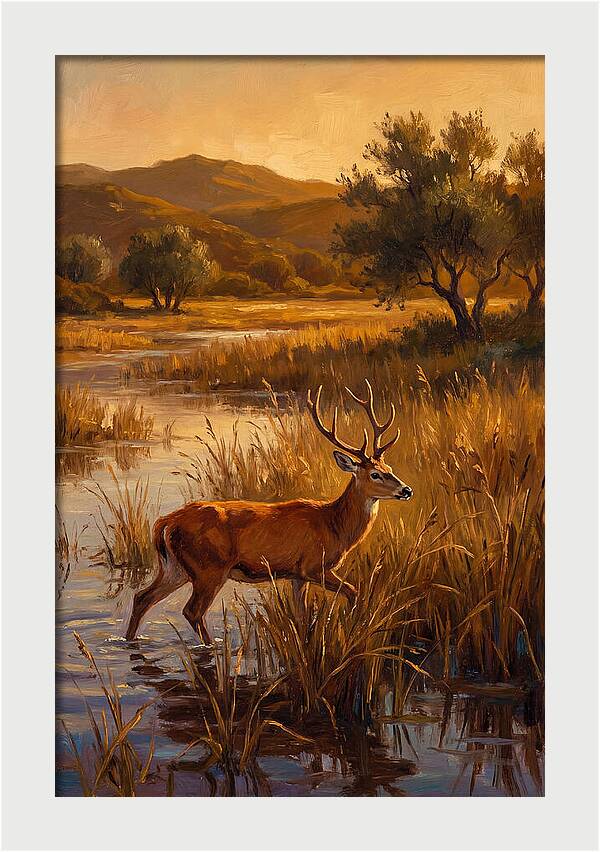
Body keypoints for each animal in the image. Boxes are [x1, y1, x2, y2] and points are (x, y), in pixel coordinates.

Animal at [125, 380, 413, 643]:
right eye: (375, 474)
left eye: (389, 468)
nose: (407, 489)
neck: (334, 526)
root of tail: (166, 522)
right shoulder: (313, 566)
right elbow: (353, 591)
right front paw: (353, 625)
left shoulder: (297, 575)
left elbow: (302, 616)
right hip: (208, 567)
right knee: (192, 611)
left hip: (175, 568)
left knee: (142, 597)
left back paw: (129, 639)